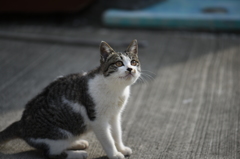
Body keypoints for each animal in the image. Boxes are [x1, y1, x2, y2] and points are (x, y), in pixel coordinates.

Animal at [0, 39, 141, 159]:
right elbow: (108, 139)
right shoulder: (97, 119)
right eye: (118, 63)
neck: (115, 89)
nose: (130, 69)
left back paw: (77, 143)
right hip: (57, 134)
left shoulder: (115, 115)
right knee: (51, 153)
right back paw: (77, 154)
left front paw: (121, 148)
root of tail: (21, 123)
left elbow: (117, 133)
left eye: (134, 62)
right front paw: (114, 154)